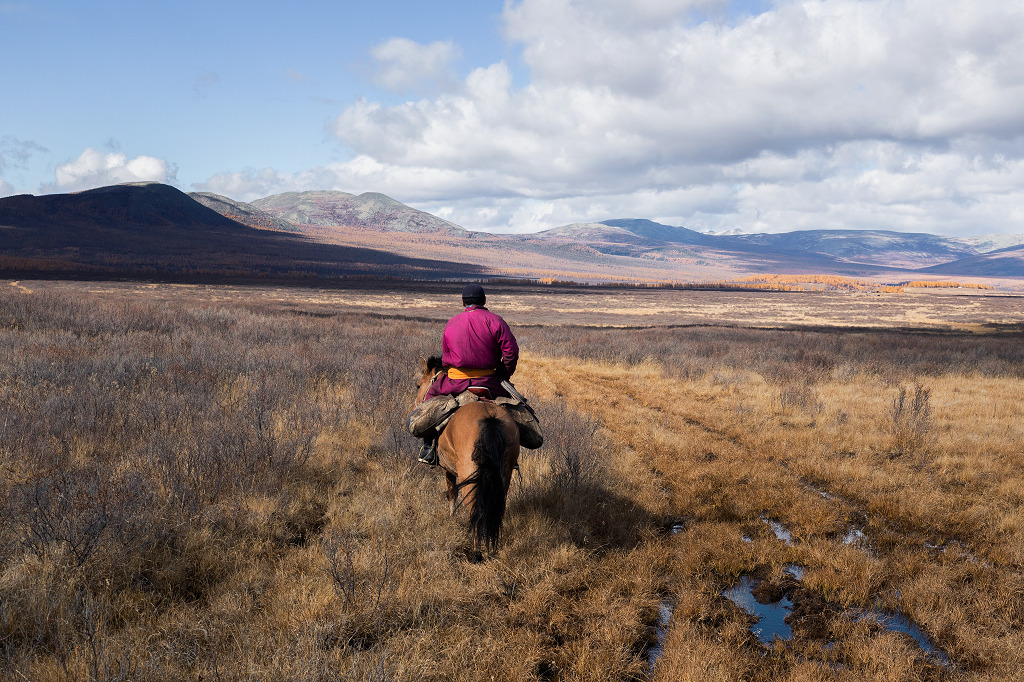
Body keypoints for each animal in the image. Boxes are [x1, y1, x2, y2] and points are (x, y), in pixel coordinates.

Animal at [417, 352, 524, 557]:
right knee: (496, 508)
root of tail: (489, 417)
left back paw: (476, 553)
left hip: (470, 474)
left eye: (418, 385)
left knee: (476, 510)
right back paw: (492, 547)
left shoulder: (447, 469)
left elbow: (451, 493)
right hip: (504, 475)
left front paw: (451, 518)